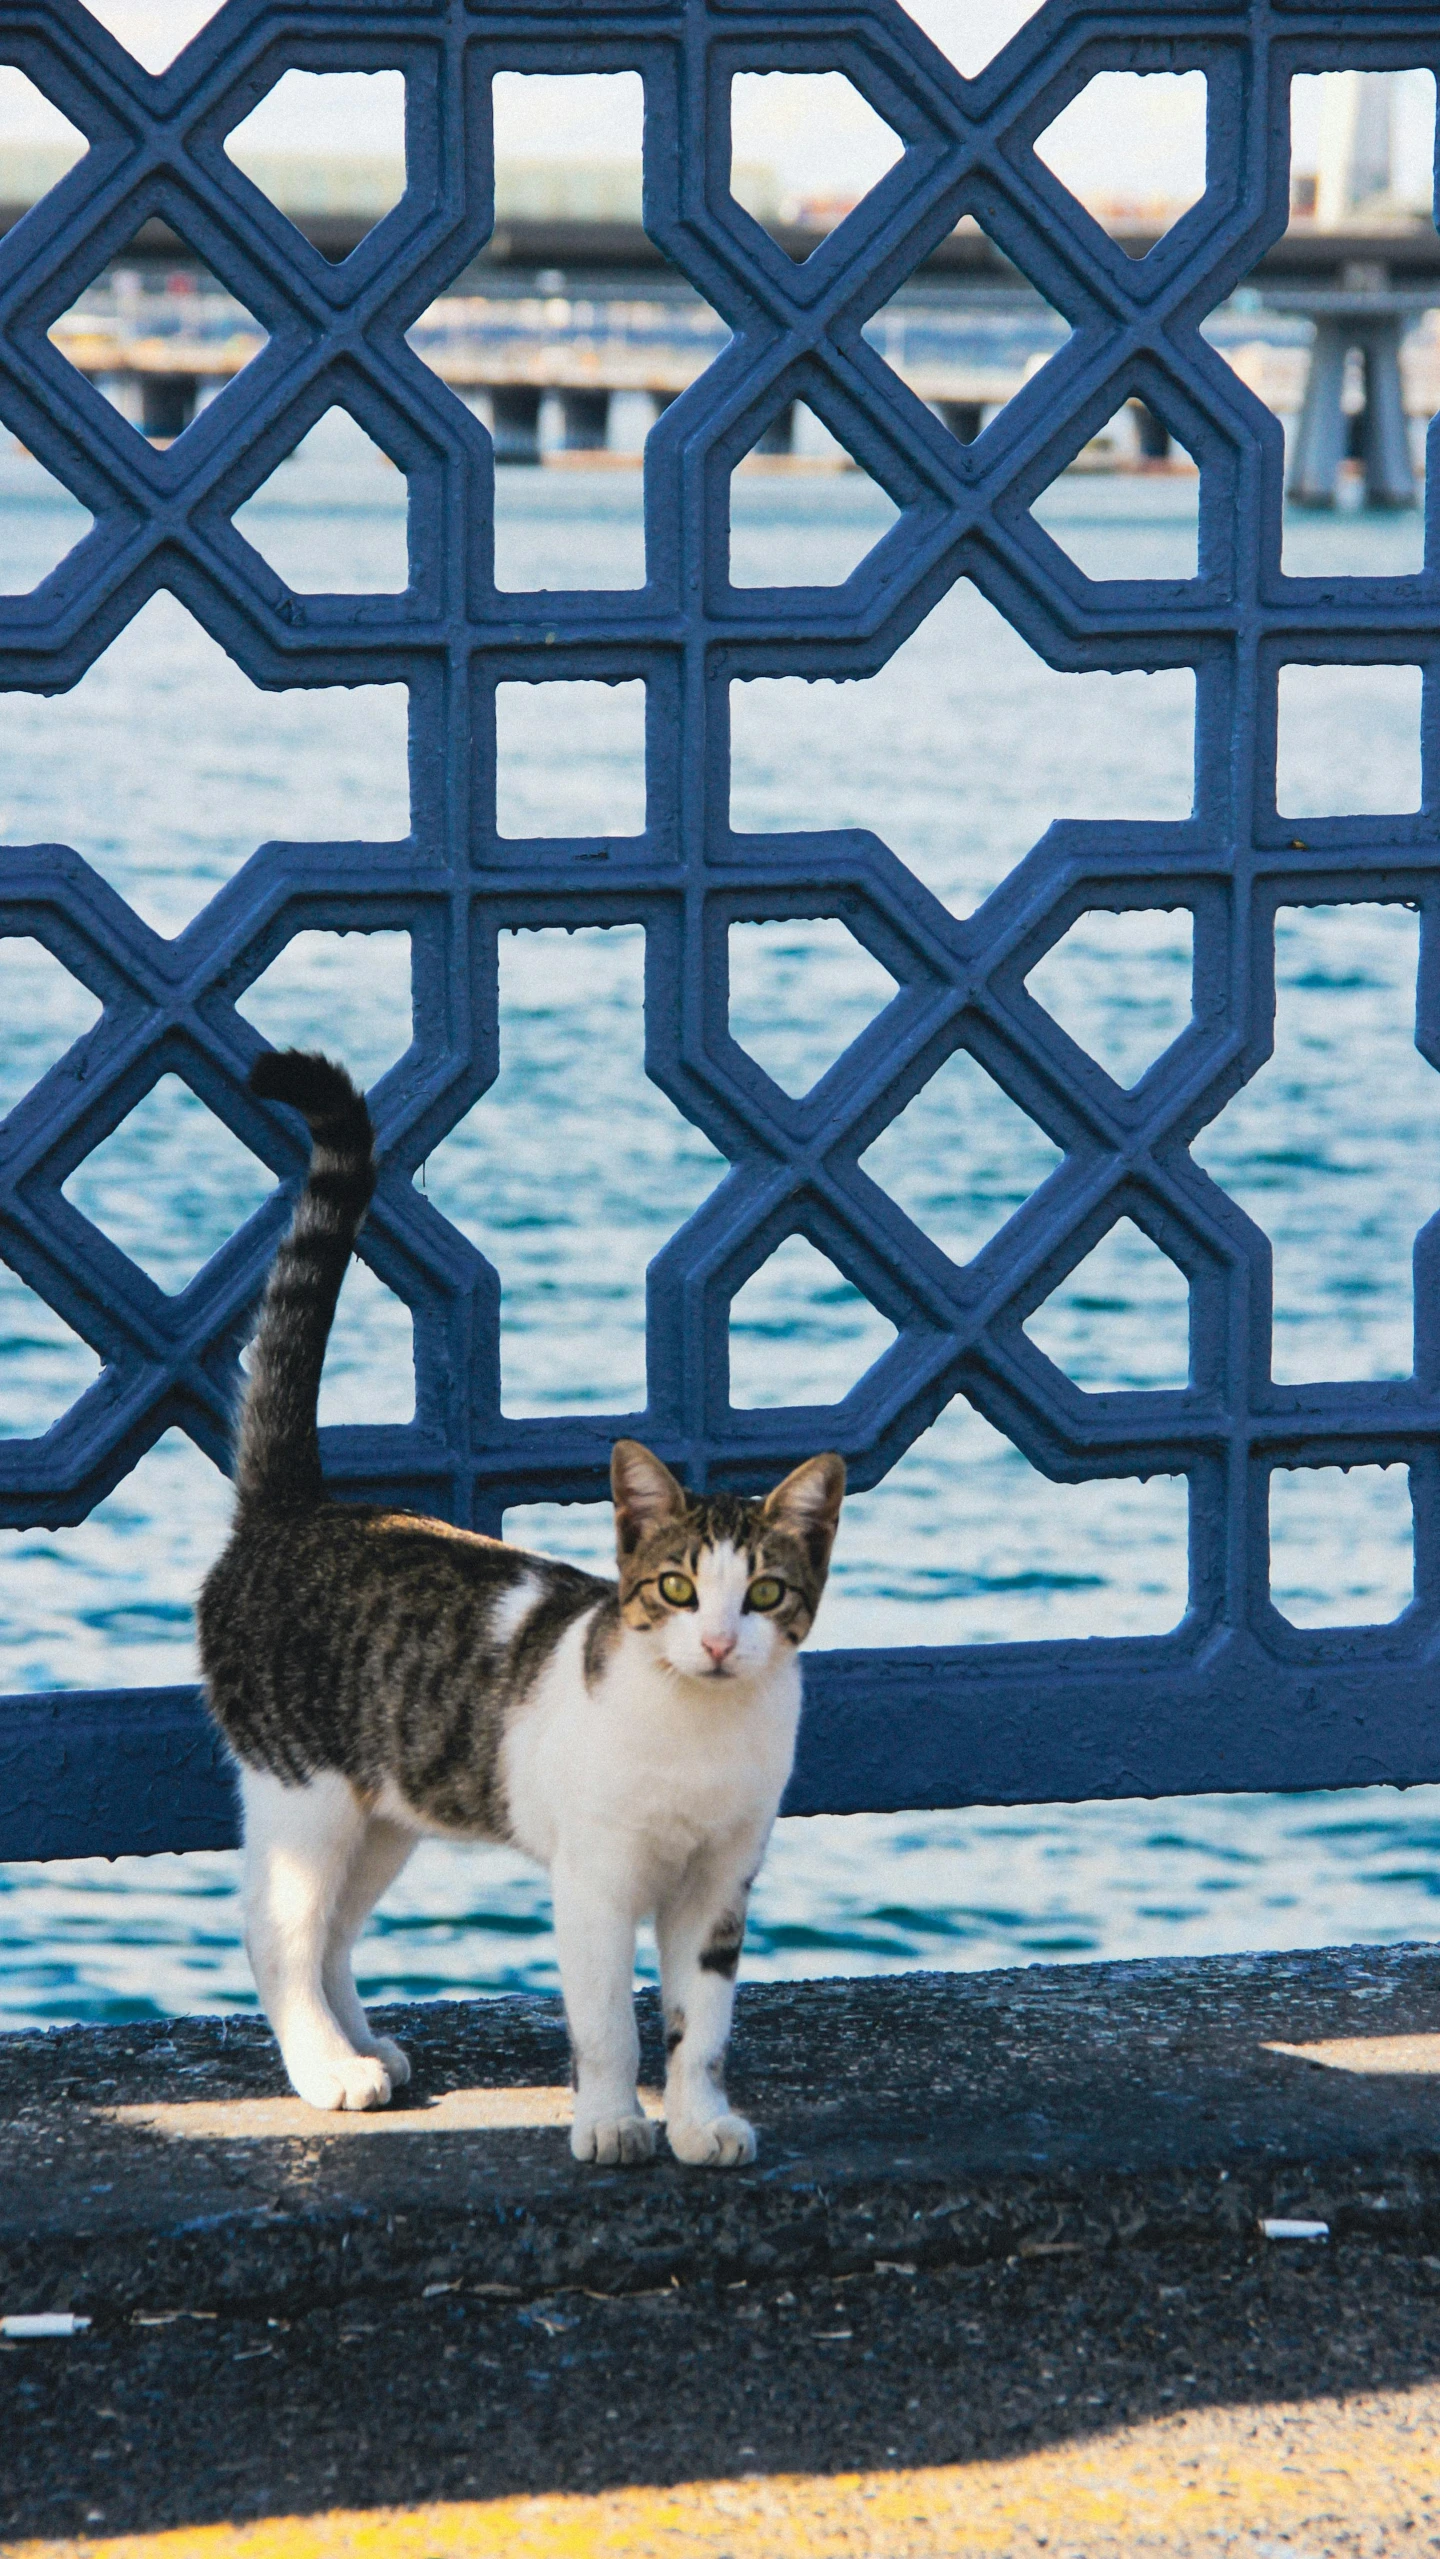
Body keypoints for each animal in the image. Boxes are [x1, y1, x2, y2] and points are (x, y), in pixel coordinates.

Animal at [196, 1049, 838, 2170]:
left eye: (765, 1592)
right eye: (676, 1587)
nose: (720, 1642)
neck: (700, 1729)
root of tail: (294, 1509)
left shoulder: (721, 1880)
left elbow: (702, 2023)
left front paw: (699, 2121)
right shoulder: (596, 1879)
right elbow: (609, 2021)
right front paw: (613, 2122)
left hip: (386, 1808)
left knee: (337, 1932)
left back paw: (365, 2042)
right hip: (302, 1790)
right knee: (280, 1931)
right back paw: (326, 2066)